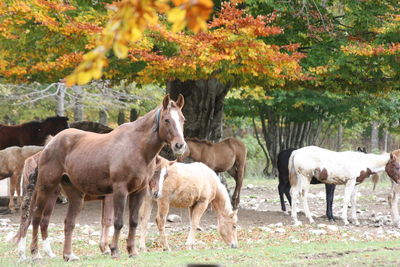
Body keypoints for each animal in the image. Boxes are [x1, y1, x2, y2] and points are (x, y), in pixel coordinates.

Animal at [14, 94, 186, 262]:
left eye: (182, 119)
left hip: (75, 195)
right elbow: (117, 222)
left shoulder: (139, 191)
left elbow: (133, 221)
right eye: (166, 119)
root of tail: (48, 146)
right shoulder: (119, 190)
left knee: (68, 222)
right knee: (35, 219)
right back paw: (34, 253)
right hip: (46, 188)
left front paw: (132, 251)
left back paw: (68, 255)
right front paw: (114, 250)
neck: (136, 147)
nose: (180, 145)